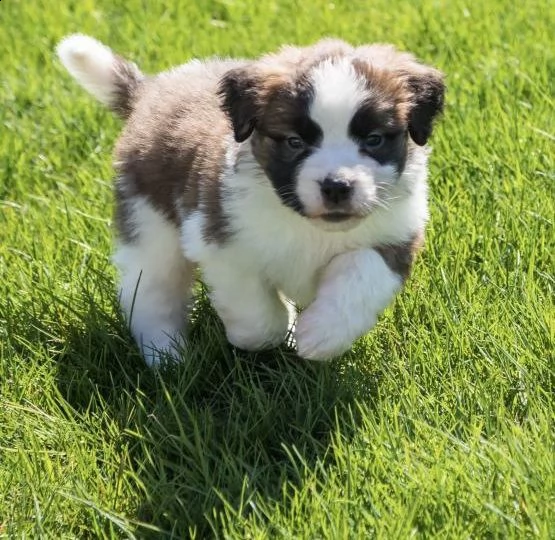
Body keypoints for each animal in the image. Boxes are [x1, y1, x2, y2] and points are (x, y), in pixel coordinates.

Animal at [56, 35, 446, 364]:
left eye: (374, 139)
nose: (337, 186)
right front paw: (271, 333)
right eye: (294, 142)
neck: (307, 225)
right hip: (150, 224)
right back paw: (166, 355)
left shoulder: (393, 236)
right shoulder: (222, 242)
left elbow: (361, 274)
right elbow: (257, 317)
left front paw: (319, 335)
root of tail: (150, 91)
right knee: (151, 289)